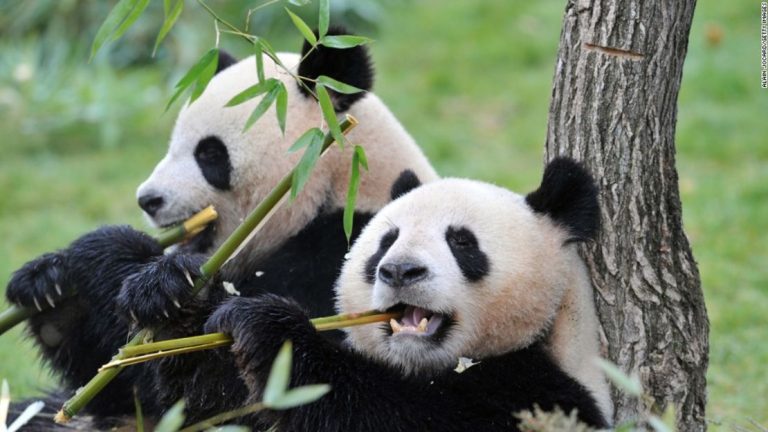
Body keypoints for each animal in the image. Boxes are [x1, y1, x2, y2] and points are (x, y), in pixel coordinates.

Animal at [5, 28, 438, 426]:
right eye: (172, 146)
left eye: (210, 153)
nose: (148, 199)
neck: (338, 186)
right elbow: (127, 393)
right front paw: (48, 283)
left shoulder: (338, 259)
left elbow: (229, 392)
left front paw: (156, 283)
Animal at [204, 157, 611, 431]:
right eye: (387, 241)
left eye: (462, 242)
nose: (400, 270)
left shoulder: (538, 393)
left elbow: (390, 412)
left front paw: (267, 326)